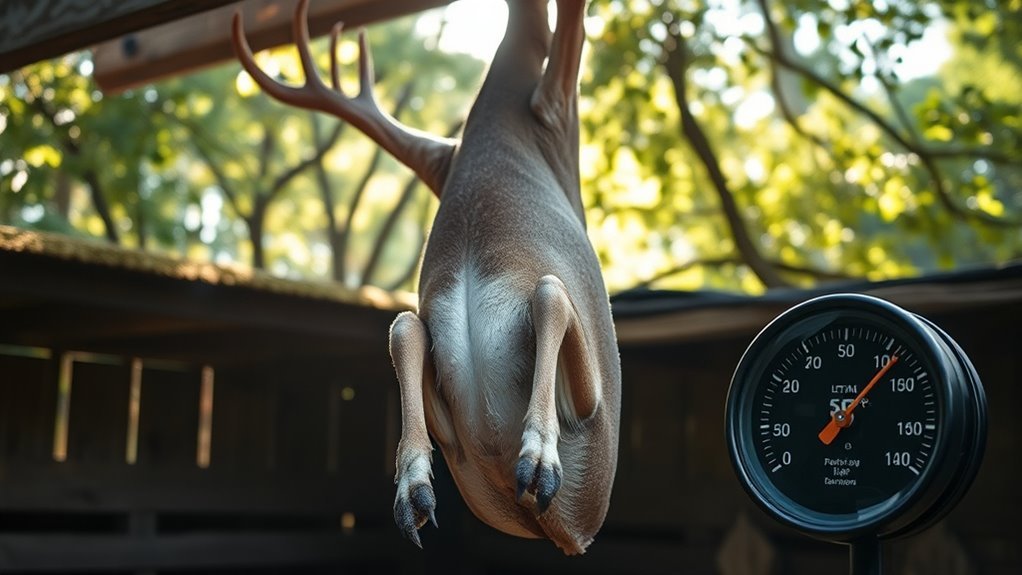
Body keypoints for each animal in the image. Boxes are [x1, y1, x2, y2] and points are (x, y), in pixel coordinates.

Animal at [232, 0, 620, 555]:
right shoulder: (556, 111)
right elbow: (572, 32)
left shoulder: (440, 159)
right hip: (592, 419)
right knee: (549, 293)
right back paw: (538, 461)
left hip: (464, 452)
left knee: (405, 327)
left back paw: (413, 492)